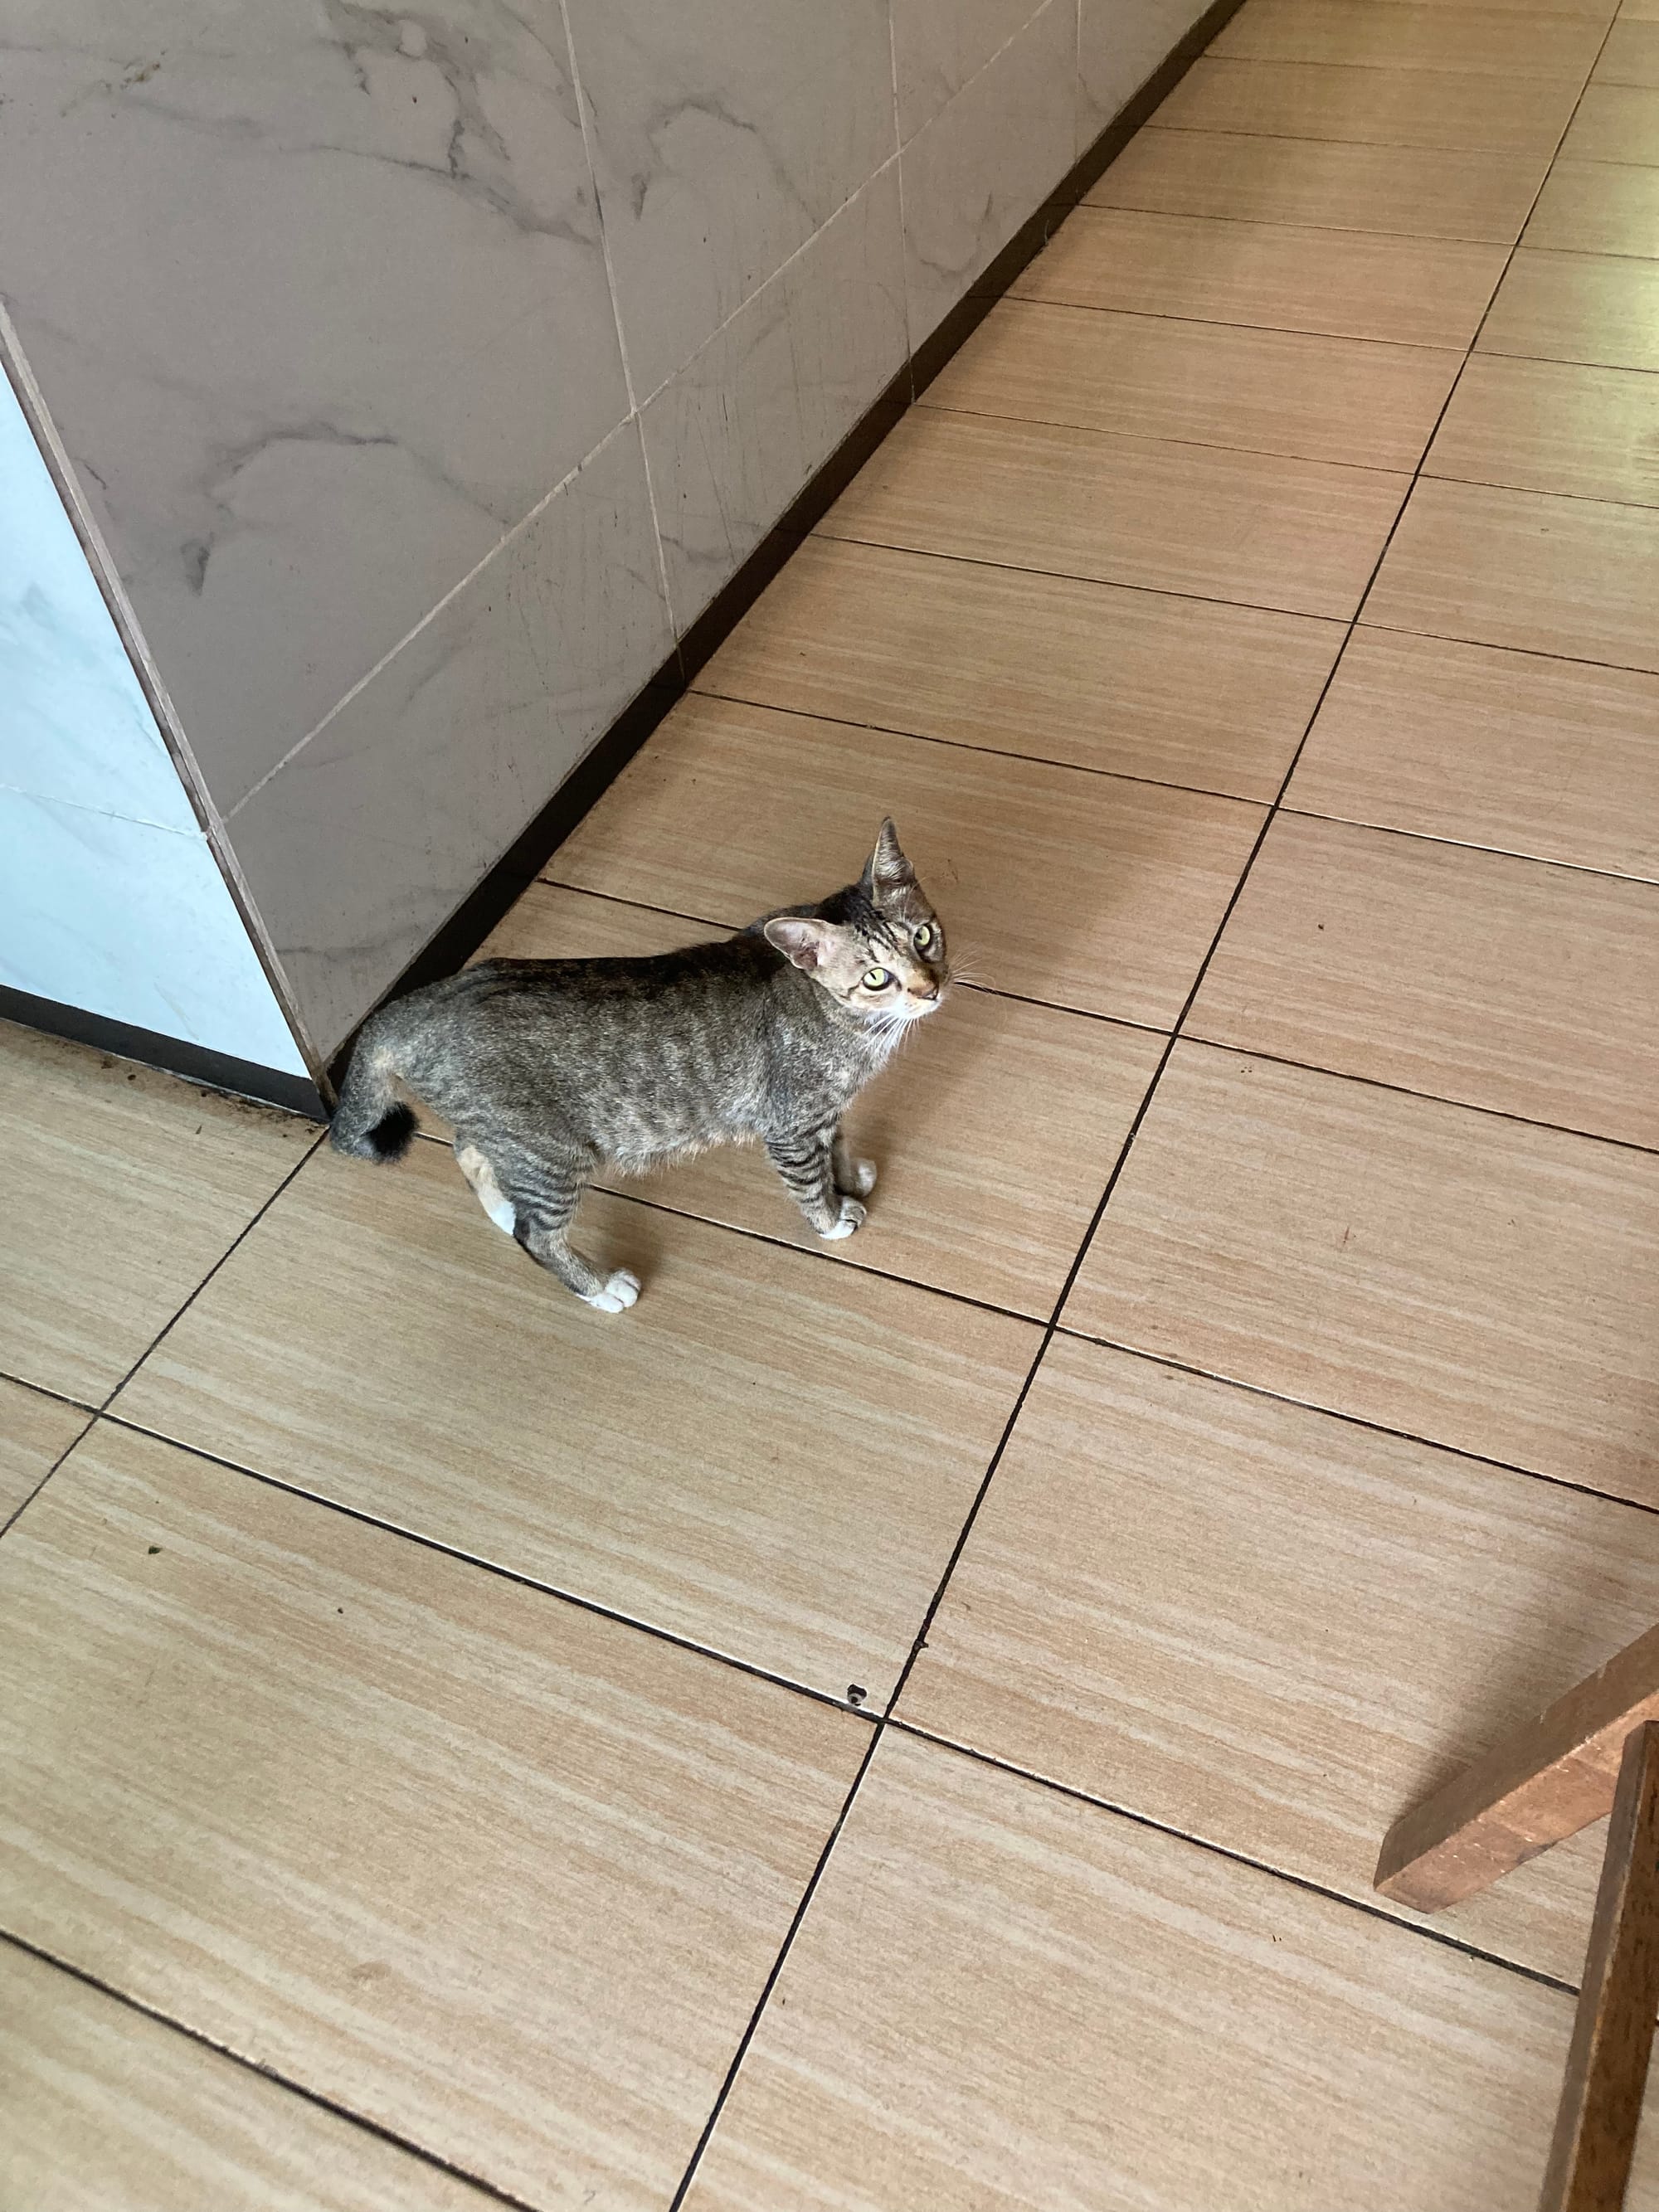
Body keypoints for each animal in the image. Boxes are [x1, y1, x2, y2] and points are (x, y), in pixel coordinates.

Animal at [329, 831, 946, 1309]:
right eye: (876, 977)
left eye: (925, 936)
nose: (930, 988)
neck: (849, 1025)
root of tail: (421, 1002)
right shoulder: (791, 1124)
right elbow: (809, 1181)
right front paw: (832, 1218)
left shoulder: (825, 1109)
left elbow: (836, 1145)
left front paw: (848, 1178)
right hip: (552, 1154)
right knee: (537, 1234)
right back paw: (599, 1287)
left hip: (512, 1139)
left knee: (468, 1150)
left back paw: (502, 1209)